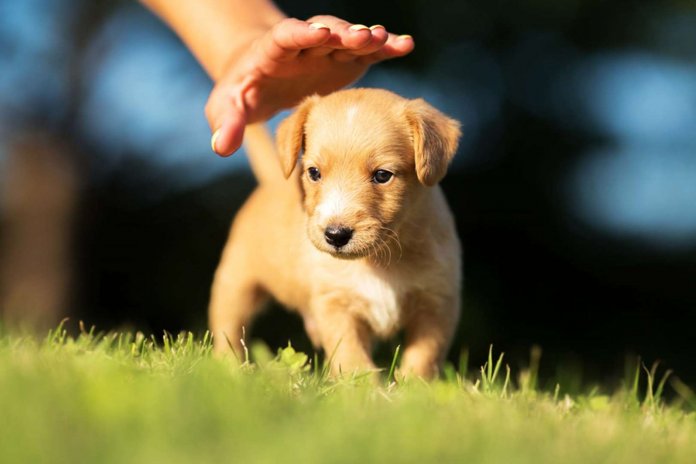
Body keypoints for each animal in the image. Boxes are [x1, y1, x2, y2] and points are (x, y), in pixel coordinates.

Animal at [211, 87, 462, 376]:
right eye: (314, 172)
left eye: (382, 175)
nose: (335, 235)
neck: (379, 262)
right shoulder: (335, 306)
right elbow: (352, 358)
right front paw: (363, 386)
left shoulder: (437, 304)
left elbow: (423, 358)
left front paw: (412, 385)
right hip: (235, 282)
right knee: (228, 329)